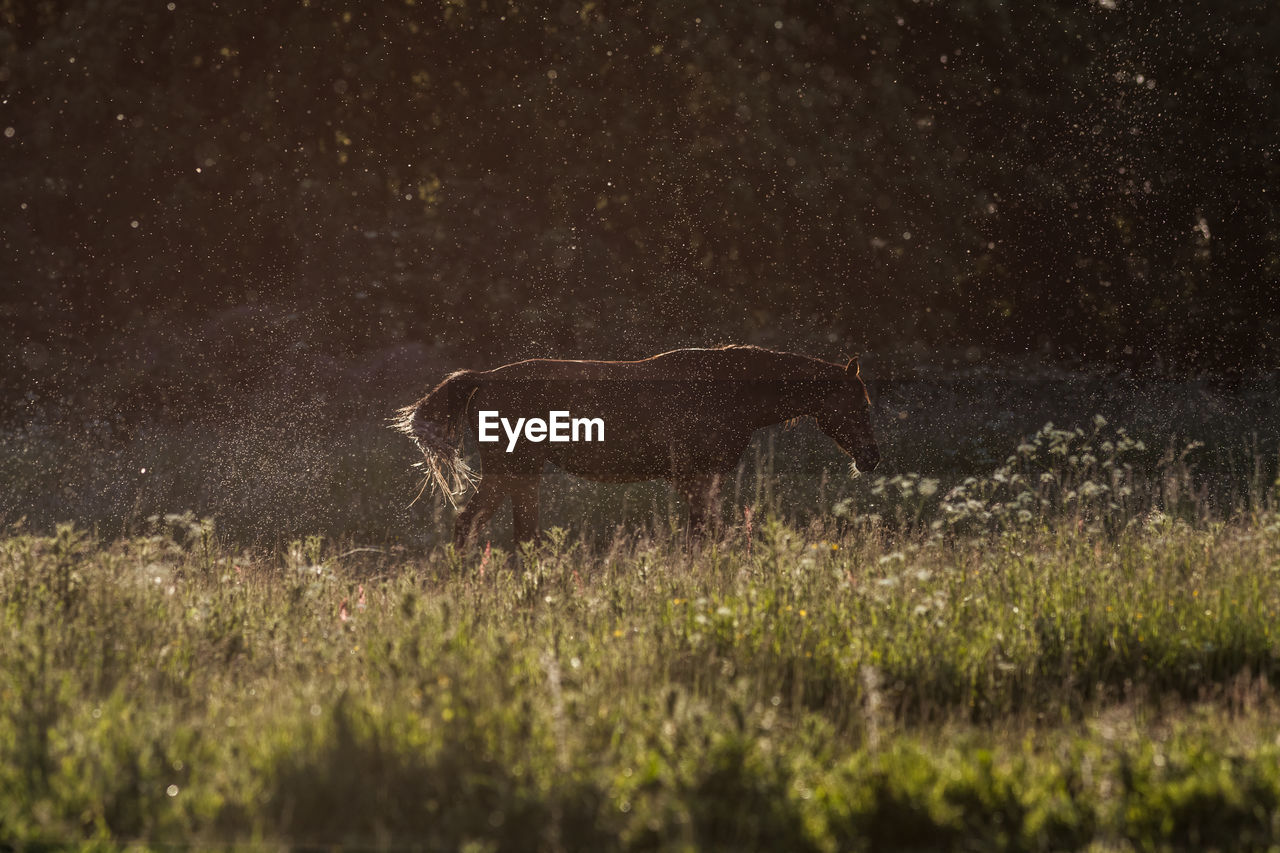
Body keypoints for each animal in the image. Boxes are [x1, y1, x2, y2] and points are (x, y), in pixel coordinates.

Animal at [391, 343, 880, 548]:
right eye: (860, 403)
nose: (871, 459)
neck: (729, 394)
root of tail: (484, 378)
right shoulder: (692, 476)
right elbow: (707, 535)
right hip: (513, 469)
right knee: (476, 525)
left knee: (501, 530)